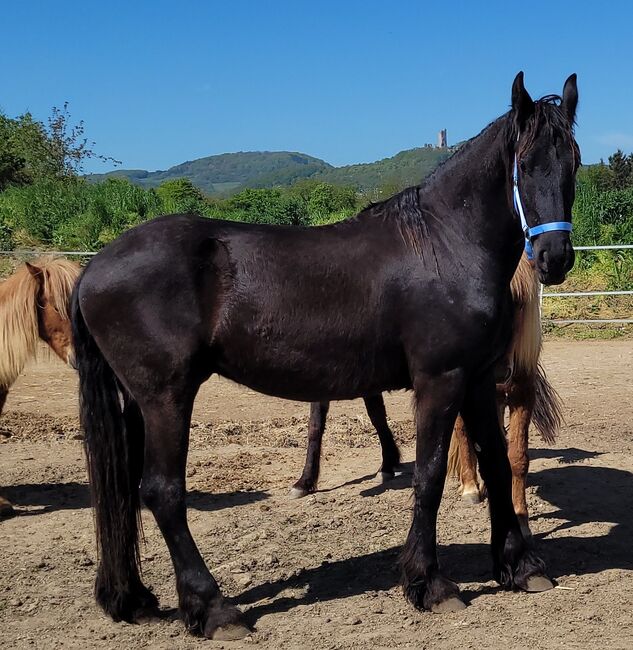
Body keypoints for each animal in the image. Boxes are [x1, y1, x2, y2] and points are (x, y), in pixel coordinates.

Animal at [290, 253, 563, 542]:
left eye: (519, 303)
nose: (498, 370)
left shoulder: (522, 394)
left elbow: (517, 457)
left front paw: (520, 518)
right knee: (463, 434)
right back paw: (471, 487)